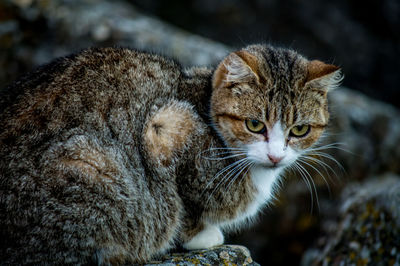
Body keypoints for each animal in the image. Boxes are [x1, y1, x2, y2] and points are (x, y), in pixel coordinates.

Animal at [0, 43, 340, 264]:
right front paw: (202, 236)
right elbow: (183, 201)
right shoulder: (166, 127)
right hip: (90, 164)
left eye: (300, 130)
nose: (276, 156)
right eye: (255, 124)